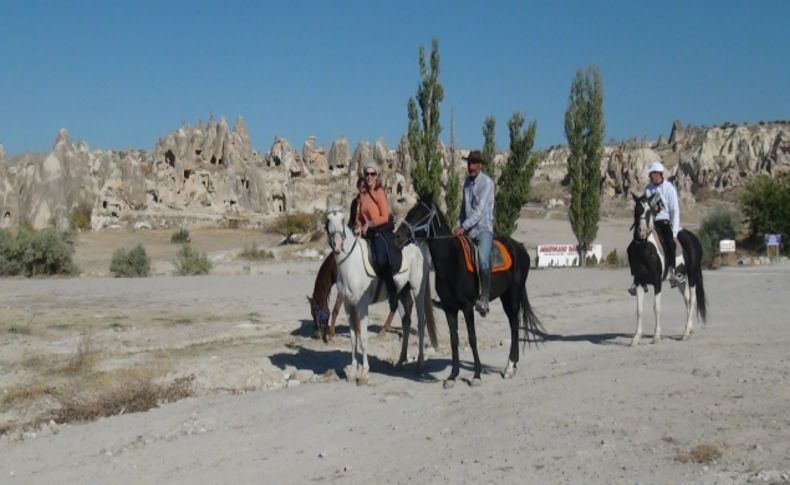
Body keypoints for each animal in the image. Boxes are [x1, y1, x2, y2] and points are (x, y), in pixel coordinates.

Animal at [326, 206, 440, 384]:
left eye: (343, 220)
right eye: (328, 220)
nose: (337, 245)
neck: (350, 264)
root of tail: (418, 245)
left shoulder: (362, 307)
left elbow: (363, 339)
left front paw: (364, 374)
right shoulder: (348, 307)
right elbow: (353, 339)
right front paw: (352, 372)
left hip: (418, 290)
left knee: (421, 323)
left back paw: (419, 364)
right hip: (401, 292)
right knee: (406, 322)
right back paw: (400, 362)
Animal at [394, 195, 544, 388]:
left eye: (421, 215)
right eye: (410, 212)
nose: (397, 236)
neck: (451, 259)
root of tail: (520, 248)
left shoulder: (467, 307)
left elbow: (472, 338)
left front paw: (477, 375)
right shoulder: (450, 308)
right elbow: (454, 340)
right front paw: (452, 376)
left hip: (513, 294)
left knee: (514, 325)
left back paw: (509, 367)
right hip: (505, 296)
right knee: (514, 323)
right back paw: (513, 365)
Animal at [628, 193, 708, 344]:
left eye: (650, 211)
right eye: (636, 210)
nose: (641, 232)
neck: (646, 249)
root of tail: (693, 238)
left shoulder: (657, 282)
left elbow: (656, 307)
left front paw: (656, 336)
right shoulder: (640, 282)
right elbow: (639, 309)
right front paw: (636, 338)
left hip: (693, 275)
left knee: (693, 299)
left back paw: (685, 333)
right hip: (681, 280)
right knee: (687, 299)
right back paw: (688, 329)